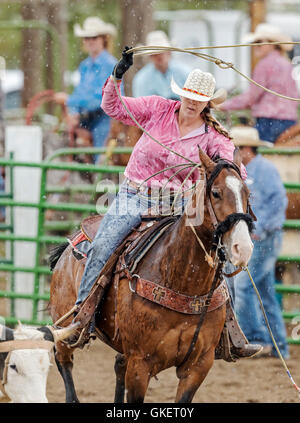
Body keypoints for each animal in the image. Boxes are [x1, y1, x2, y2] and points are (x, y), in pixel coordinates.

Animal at [48, 150, 253, 404]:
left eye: (247, 194)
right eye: (216, 193)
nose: (242, 248)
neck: (182, 281)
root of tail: (70, 245)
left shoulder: (199, 365)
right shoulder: (140, 363)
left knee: (118, 365)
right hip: (65, 325)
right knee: (63, 359)